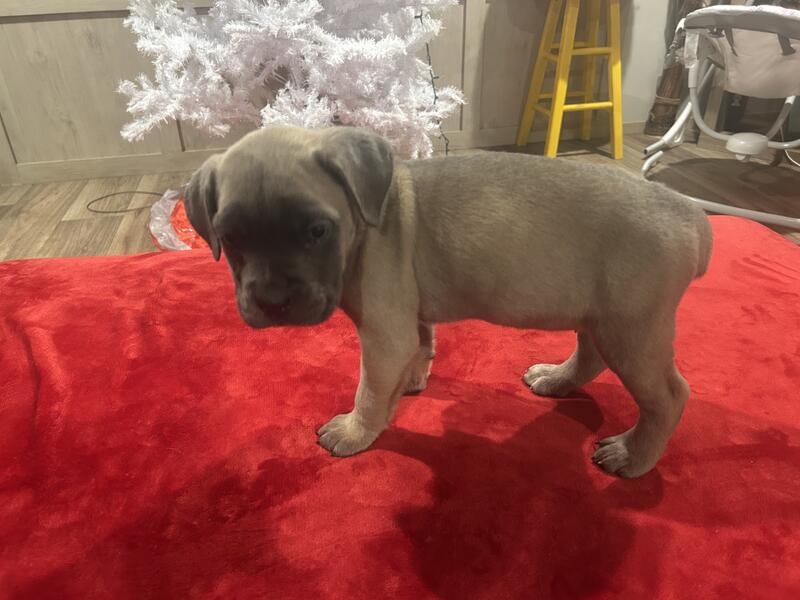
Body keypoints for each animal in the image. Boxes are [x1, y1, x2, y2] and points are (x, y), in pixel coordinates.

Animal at [184, 125, 712, 478]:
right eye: (231, 239)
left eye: (317, 231)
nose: (273, 300)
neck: (367, 218)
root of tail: (688, 211)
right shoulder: (408, 319)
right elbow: (420, 347)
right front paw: (411, 382)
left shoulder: (384, 333)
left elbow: (369, 391)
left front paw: (355, 432)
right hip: (599, 313)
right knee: (590, 356)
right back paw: (556, 379)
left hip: (633, 329)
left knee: (668, 397)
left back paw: (633, 456)